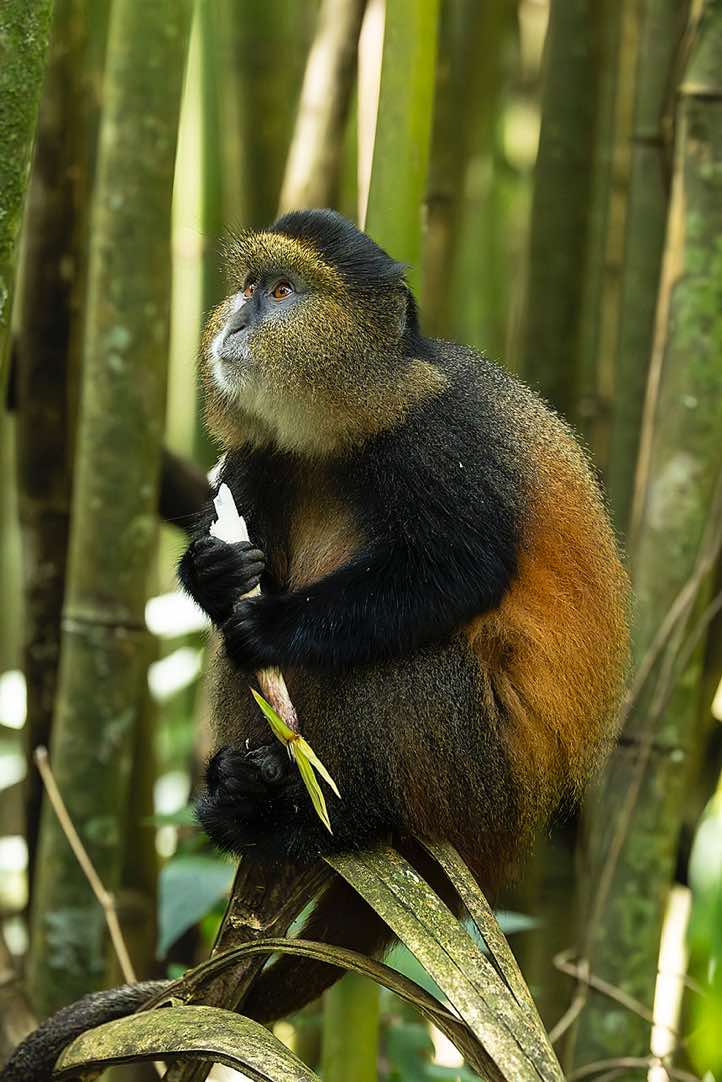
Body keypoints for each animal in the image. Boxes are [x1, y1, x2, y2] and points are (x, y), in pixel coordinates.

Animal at [1, 209, 629, 1080]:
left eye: (282, 292)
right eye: (248, 285)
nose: (236, 319)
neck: (353, 416)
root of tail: (515, 824)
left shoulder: (441, 444)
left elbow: (458, 571)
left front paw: (270, 626)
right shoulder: (259, 456)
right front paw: (214, 572)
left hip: (478, 773)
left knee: (410, 665)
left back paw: (330, 820)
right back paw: (243, 792)